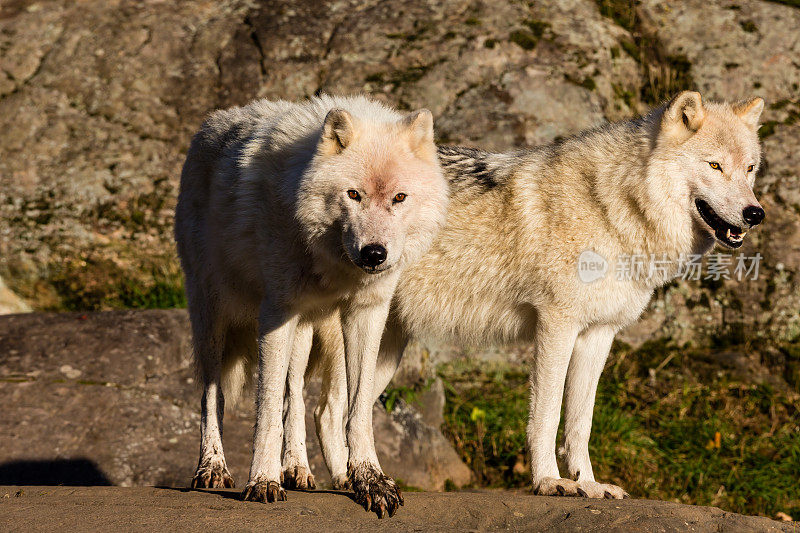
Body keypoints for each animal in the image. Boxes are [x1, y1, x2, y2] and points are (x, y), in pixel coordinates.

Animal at [175, 93, 450, 510]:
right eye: (353, 194)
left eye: (399, 197)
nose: (374, 254)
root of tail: (212, 122)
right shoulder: (276, 312)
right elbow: (267, 407)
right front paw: (263, 480)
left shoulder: (367, 313)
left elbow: (356, 410)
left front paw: (371, 480)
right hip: (212, 316)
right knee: (213, 395)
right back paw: (213, 468)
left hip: (306, 332)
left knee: (296, 399)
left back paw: (298, 469)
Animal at [290, 91, 764, 512]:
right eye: (715, 165)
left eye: (750, 169)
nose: (755, 213)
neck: (613, 205)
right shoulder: (556, 324)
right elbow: (547, 415)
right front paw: (550, 482)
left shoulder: (599, 335)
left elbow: (580, 423)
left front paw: (589, 485)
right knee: (327, 410)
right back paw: (341, 482)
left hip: (385, 349)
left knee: (343, 412)